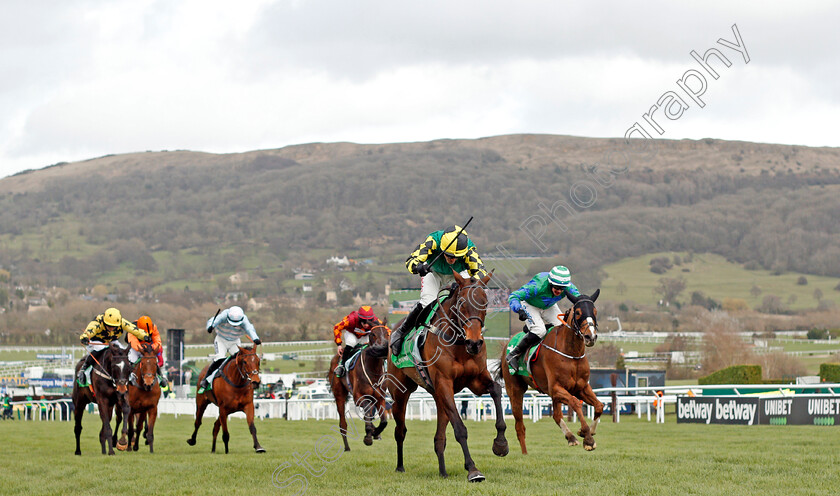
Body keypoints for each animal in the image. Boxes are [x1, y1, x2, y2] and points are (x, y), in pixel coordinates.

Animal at [330, 324, 392, 452]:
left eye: (387, 333)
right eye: (373, 334)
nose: (382, 348)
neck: (373, 370)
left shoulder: (380, 397)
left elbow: (383, 421)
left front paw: (375, 432)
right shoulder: (359, 397)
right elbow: (367, 413)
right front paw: (368, 437)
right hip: (339, 395)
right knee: (343, 423)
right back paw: (347, 447)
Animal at [386, 270, 508, 482]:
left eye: (485, 302)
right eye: (462, 304)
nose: (474, 343)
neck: (458, 343)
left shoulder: (475, 379)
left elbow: (496, 390)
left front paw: (500, 443)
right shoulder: (444, 383)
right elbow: (460, 429)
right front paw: (473, 469)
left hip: (438, 395)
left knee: (439, 438)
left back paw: (443, 472)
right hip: (401, 392)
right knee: (400, 431)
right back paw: (400, 466)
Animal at [498, 288, 604, 456]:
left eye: (595, 311)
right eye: (578, 312)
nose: (590, 336)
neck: (571, 353)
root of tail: (507, 345)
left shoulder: (581, 387)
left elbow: (599, 406)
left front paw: (587, 432)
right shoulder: (555, 388)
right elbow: (576, 403)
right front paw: (588, 438)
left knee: (556, 415)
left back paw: (570, 437)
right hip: (515, 389)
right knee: (519, 426)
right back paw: (525, 454)